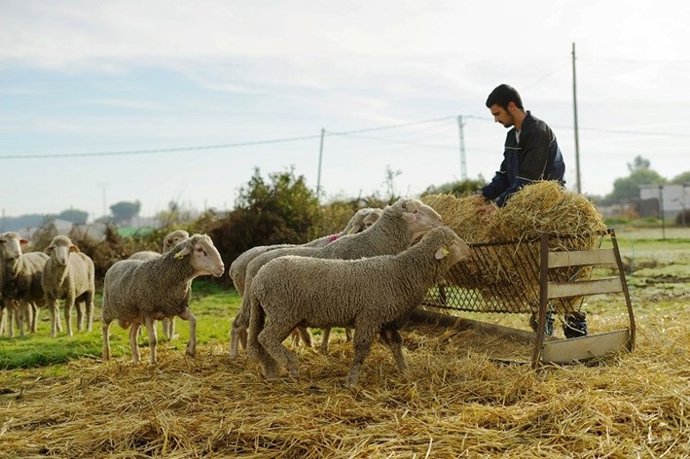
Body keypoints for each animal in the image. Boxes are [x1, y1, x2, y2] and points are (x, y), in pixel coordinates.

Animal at [101, 234, 225, 364]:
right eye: (200, 249)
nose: (221, 268)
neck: (165, 275)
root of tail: (116, 264)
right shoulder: (148, 312)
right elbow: (153, 340)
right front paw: (153, 362)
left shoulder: (178, 307)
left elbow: (193, 321)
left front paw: (190, 350)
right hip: (108, 308)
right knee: (105, 327)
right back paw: (106, 354)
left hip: (136, 316)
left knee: (132, 335)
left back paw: (136, 359)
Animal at [228, 198, 442, 359]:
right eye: (415, 211)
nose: (440, 219)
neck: (370, 243)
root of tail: (244, 262)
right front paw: (330, 346)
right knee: (240, 325)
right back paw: (238, 354)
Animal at [247, 226, 470, 385]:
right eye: (453, 241)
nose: (468, 248)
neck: (404, 272)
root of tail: (258, 279)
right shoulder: (369, 316)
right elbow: (361, 348)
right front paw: (352, 380)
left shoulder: (385, 320)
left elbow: (396, 345)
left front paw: (405, 371)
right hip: (283, 312)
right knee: (266, 338)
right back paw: (291, 365)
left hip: (278, 314)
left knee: (261, 340)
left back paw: (272, 372)